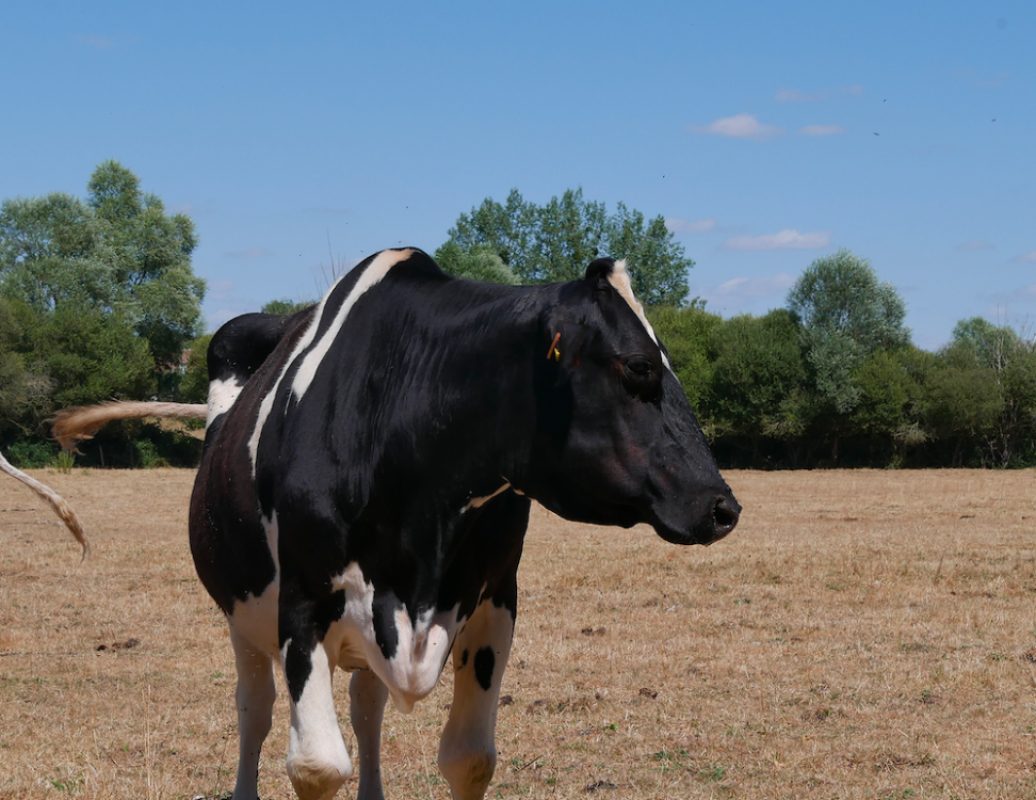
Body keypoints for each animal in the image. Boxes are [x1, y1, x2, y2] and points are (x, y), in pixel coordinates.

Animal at [51, 247, 740, 800]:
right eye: (638, 367)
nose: (723, 505)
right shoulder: (303, 601)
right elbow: (316, 766)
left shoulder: (496, 598)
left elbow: (468, 760)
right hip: (244, 618)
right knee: (255, 711)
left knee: (366, 710)